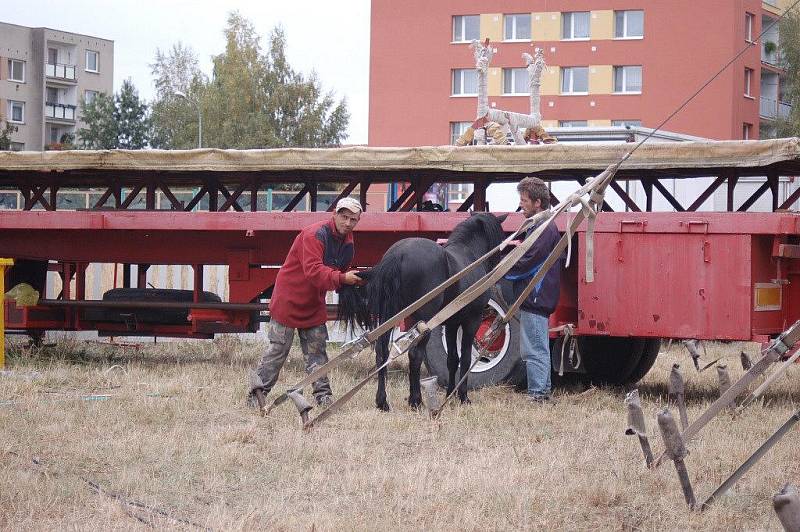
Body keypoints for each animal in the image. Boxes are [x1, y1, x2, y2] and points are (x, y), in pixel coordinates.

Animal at [338, 212, 506, 412]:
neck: (469, 255)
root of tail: (398, 254)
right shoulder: (472, 320)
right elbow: (465, 358)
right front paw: (463, 397)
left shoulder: (451, 324)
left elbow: (452, 359)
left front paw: (450, 394)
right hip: (422, 321)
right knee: (414, 355)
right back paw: (415, 400)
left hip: (390, 317)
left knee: (382, 353)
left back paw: (383, 402)